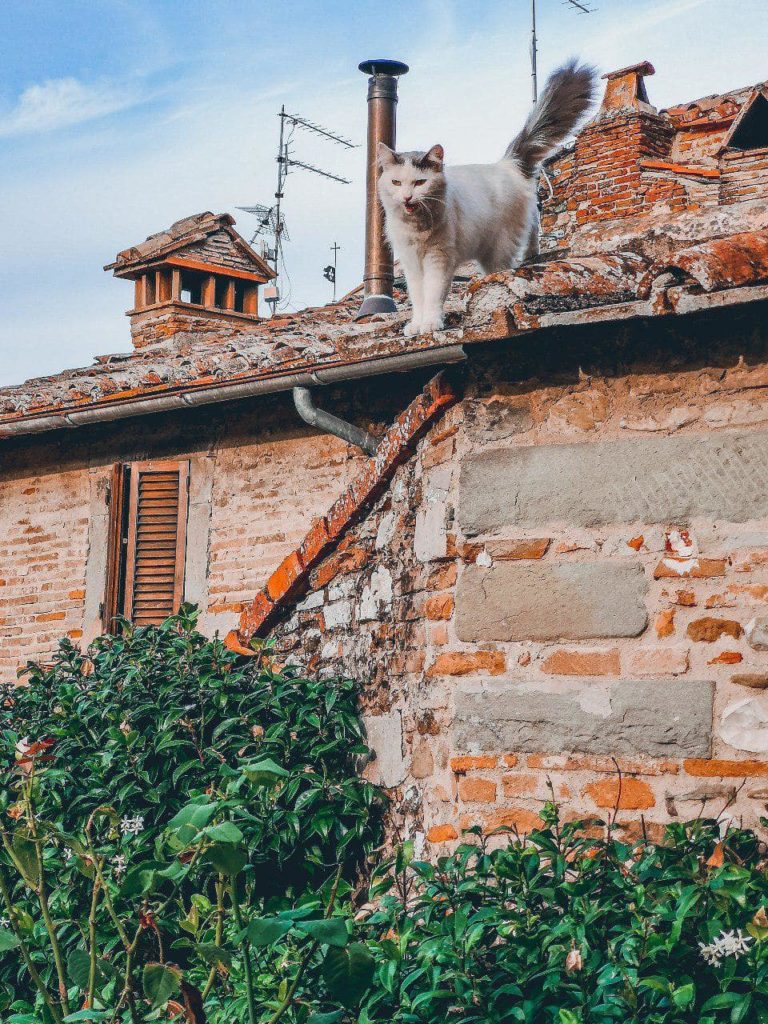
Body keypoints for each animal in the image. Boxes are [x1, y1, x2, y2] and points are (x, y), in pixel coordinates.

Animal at [382, 59, 598, 335]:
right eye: (396, 183)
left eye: (420, 182)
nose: (407, 198)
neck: (416, 228)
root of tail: (506, 165)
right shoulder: (411, 263)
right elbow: (418, 296)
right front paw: (417, 325)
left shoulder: (438, 258)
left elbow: (432, 293)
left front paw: (430, 324)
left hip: (498, 250)